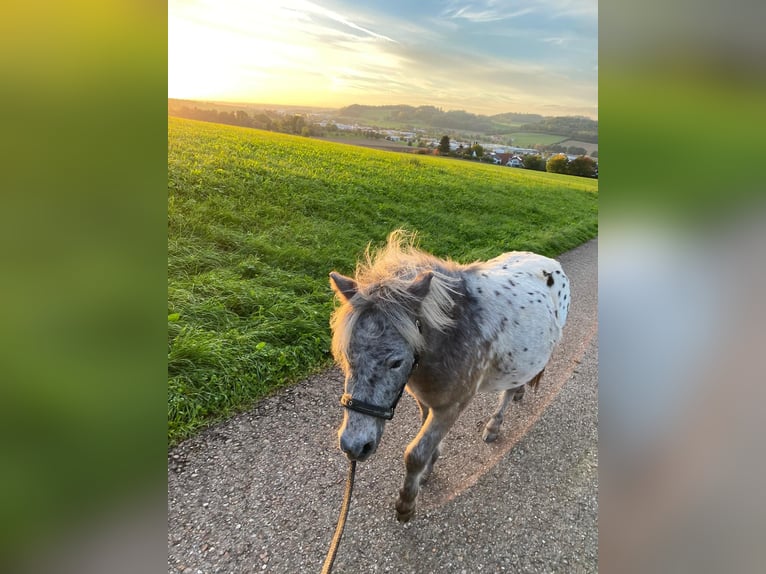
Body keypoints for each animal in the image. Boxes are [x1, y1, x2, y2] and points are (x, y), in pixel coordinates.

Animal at [328, 232, 568, 524]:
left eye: (396, 362)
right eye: (346, 355)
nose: (354, 446)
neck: (453, 334)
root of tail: (549, 262)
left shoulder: (452, 406)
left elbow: (415, 454)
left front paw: (407, 502)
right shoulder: (426, 400)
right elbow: (426, 440)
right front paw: (428, 470)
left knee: (507, 393)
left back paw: (495, 425)